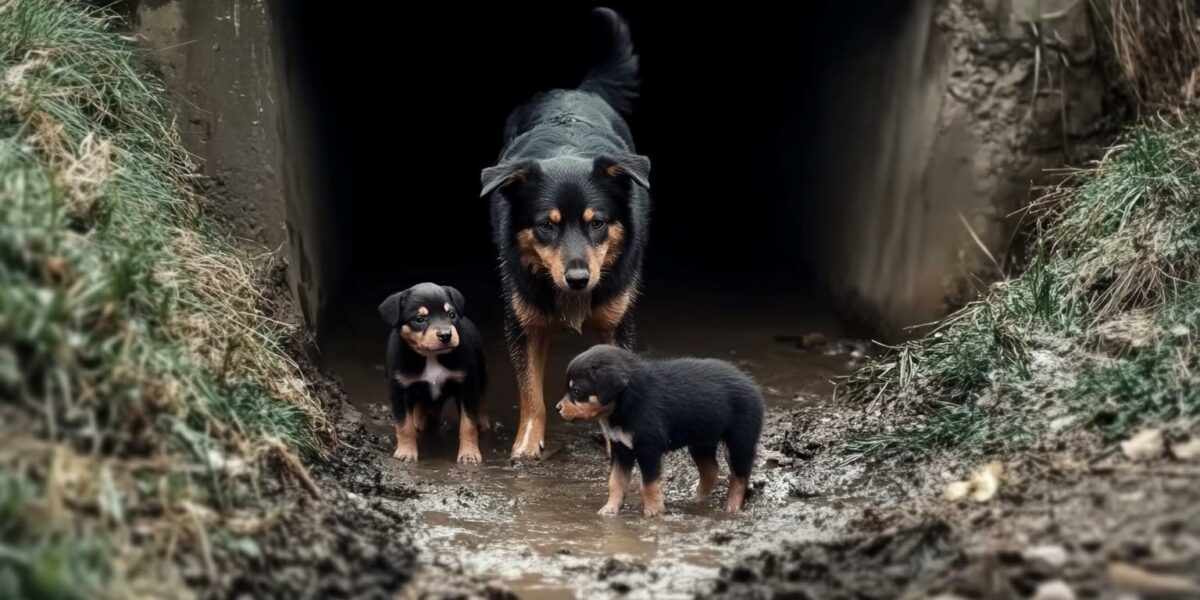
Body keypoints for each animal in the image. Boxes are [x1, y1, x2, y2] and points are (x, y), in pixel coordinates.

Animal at [376, 282, 484, 463]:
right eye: (419, 319)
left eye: (452, 314)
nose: (446, 335)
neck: (430, 356)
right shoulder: (399, 389)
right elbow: (404, 424)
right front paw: (406, 452)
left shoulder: (466, 385)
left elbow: (468, 423)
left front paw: (469, 453)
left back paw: (482, 421)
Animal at [480, 7, 652, 458]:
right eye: (546, 225)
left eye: (597, 222)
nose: (577, 279)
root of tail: (573, 90)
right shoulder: (523, 322)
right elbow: (530, 392)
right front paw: (526, 444)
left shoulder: (619, 321)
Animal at [556, 345, 763, 518]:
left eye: (576, 391)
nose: (558, 408)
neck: (627, 403)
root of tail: (751, 384)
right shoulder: (620, 449)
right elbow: (615, 481)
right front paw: (610, 509)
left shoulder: (649, 448)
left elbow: (647, 484)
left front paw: (653, 512)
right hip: (702, 441)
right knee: (711, 470)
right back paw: (697, 500)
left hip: (739, 440)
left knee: (739, 476)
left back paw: (732, 506)